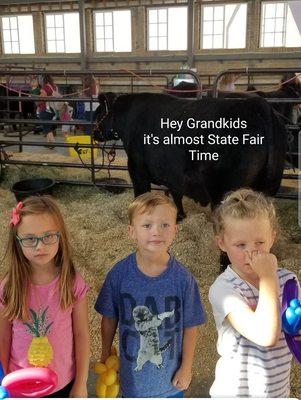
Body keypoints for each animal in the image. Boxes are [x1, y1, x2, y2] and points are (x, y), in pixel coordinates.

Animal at [94, 92, 286, 219]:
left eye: (97, 113)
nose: (94, 133)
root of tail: (259, 106)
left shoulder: (137, 169)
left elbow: (141, 195)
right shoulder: (173, 173)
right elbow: (176, 194)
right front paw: (179, 215)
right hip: (268, 188)